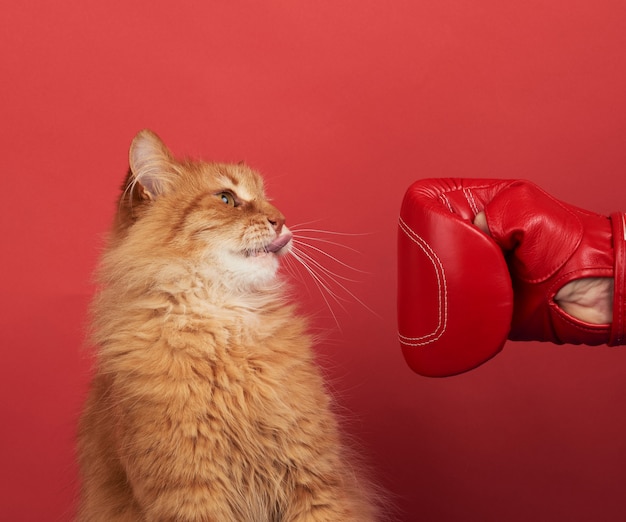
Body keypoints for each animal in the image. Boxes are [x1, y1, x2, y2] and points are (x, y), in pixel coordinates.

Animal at [75, 128, 378, 516]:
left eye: (265, 198)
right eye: (226, 198)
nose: (281, 219)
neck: (224, 327)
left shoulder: (315, 481)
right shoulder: (190, 493)